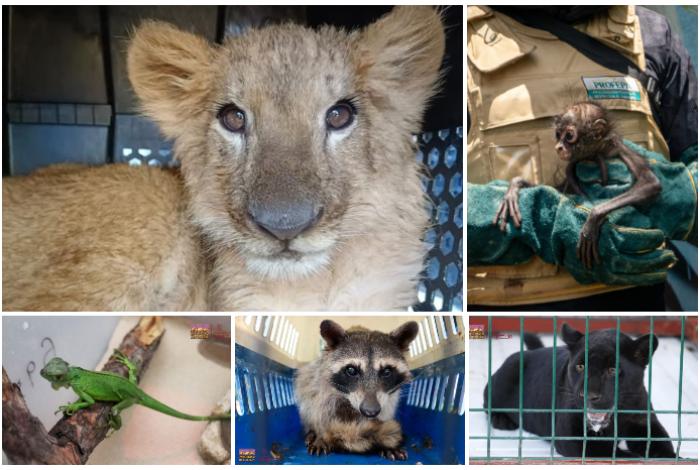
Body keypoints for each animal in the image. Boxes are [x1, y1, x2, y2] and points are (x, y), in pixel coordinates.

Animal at [492, 101, 662, 269]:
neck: (593, 153)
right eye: (558, 134)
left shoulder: (619, 148)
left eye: (569, 136)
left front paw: (593, 219)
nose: (559, 147)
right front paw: (515, 187)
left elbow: (651, 184)